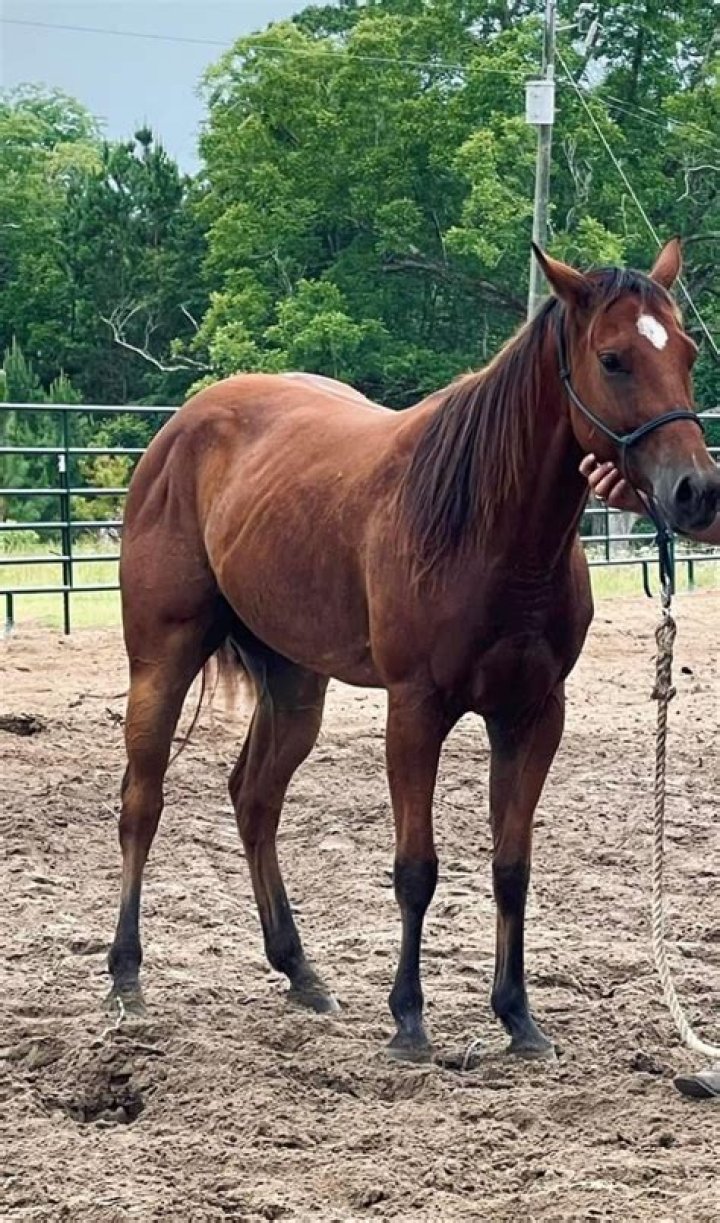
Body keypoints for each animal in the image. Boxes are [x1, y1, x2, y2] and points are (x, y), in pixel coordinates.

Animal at [108, 239, 718, 1060]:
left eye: (685, 352)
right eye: (614, 358)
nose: (697, 492)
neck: (491, 534)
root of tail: (181, 427)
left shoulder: (534, 714)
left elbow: (511, 866)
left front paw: (518, 1016)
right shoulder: (416, 709)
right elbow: (415, 868)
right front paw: (408, 1019)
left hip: (295, 683)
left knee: (255, 798)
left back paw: (301, 971)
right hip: (162, 660)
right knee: (142, 802)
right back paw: (126, 976)